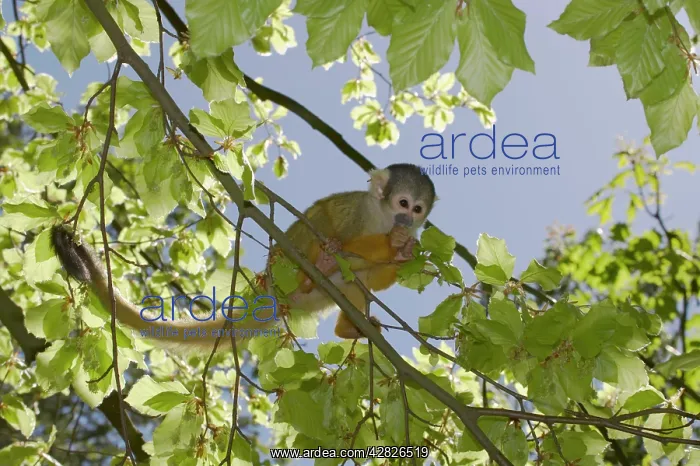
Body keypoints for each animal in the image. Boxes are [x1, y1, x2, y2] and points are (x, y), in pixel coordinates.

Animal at [51, 163, 436, 349]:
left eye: (417, 209)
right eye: (402, 203)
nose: (406, 219)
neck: (381, 216)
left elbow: (376, 278)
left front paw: (405, 252)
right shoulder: (359, 211)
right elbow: (350, 242)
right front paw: (393, 243)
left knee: (359, 281)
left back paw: (347, 326)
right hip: (281, 262)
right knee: (320, 222)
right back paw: (318, 267)